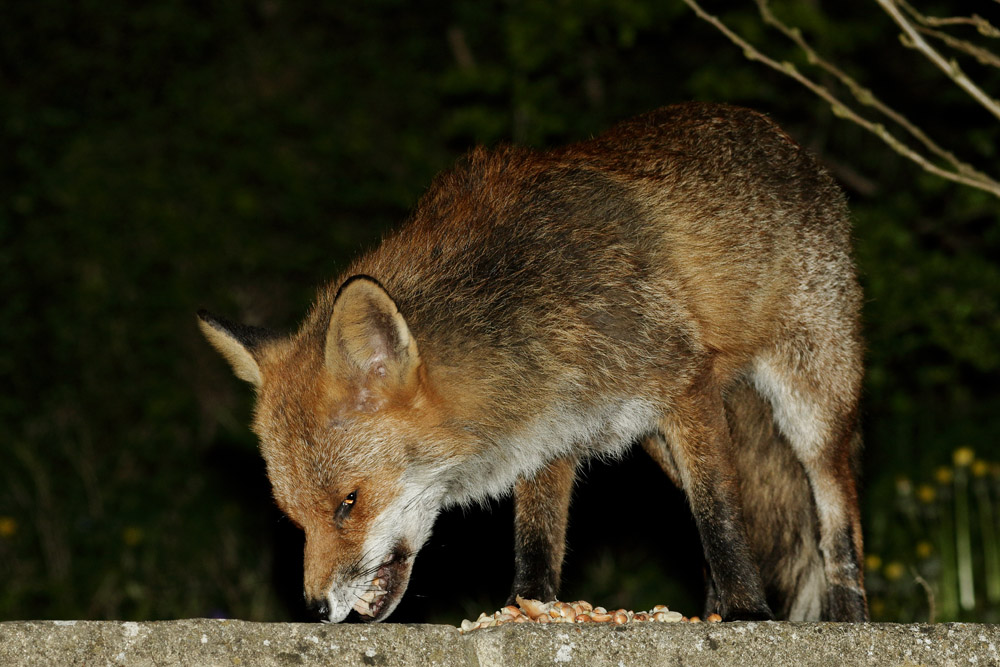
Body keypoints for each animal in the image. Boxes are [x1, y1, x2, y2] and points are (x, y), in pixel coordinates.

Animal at [198, 102, 868, 623]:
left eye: (348, 503)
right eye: (294, 519)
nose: (314, 609)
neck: (532, 307)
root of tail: (777, 134)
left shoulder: (683, 386)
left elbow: (721, 518)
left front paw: (750, 614)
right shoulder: (550, 434)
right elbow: (537, 542)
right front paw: (529, 611)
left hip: (809, 403)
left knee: (836, 518)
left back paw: (844, 615)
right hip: (664, 446)